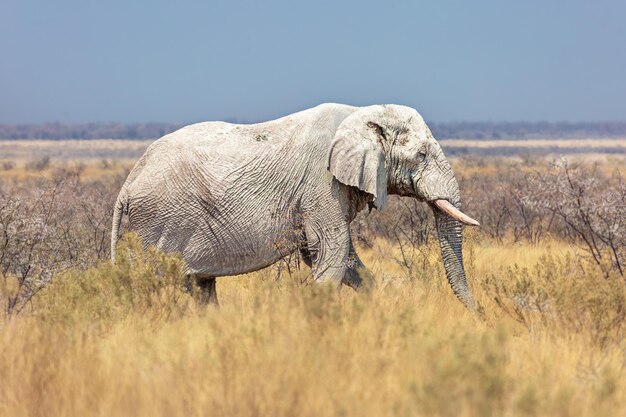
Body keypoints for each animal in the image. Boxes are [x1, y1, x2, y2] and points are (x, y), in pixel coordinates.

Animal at [109, 103, 478, 308]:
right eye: (421, 155)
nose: (480, 316)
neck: (361, 115)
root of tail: (128, 183)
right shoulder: (321, 184)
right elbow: (331, 250)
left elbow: (342, 258)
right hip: (161, 221)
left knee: (201, 286)